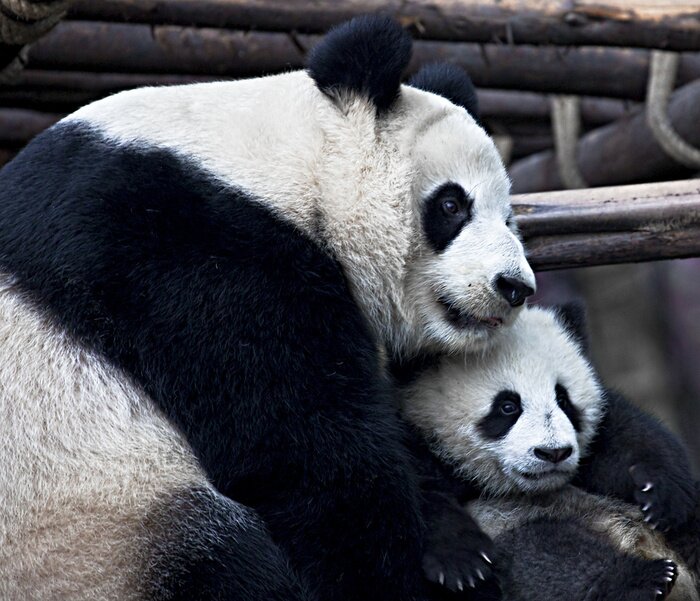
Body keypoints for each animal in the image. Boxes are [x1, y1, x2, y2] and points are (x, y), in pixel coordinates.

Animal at [0, 15, 536, 601]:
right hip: (91, 532)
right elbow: (306, 452)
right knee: (221, 562)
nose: (516, 286)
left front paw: (457, 550)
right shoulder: (191, 254)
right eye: (452, 205)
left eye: (509, 217)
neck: (286, 164)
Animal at [400, 304, 698, 601]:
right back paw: (640, 580)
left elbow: (633, 437)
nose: (554, 453)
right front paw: (462, 561)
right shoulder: (418, 442)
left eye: (563, 399)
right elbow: (422, 500)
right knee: (547, 555)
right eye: (507, 406)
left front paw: (660, 493)